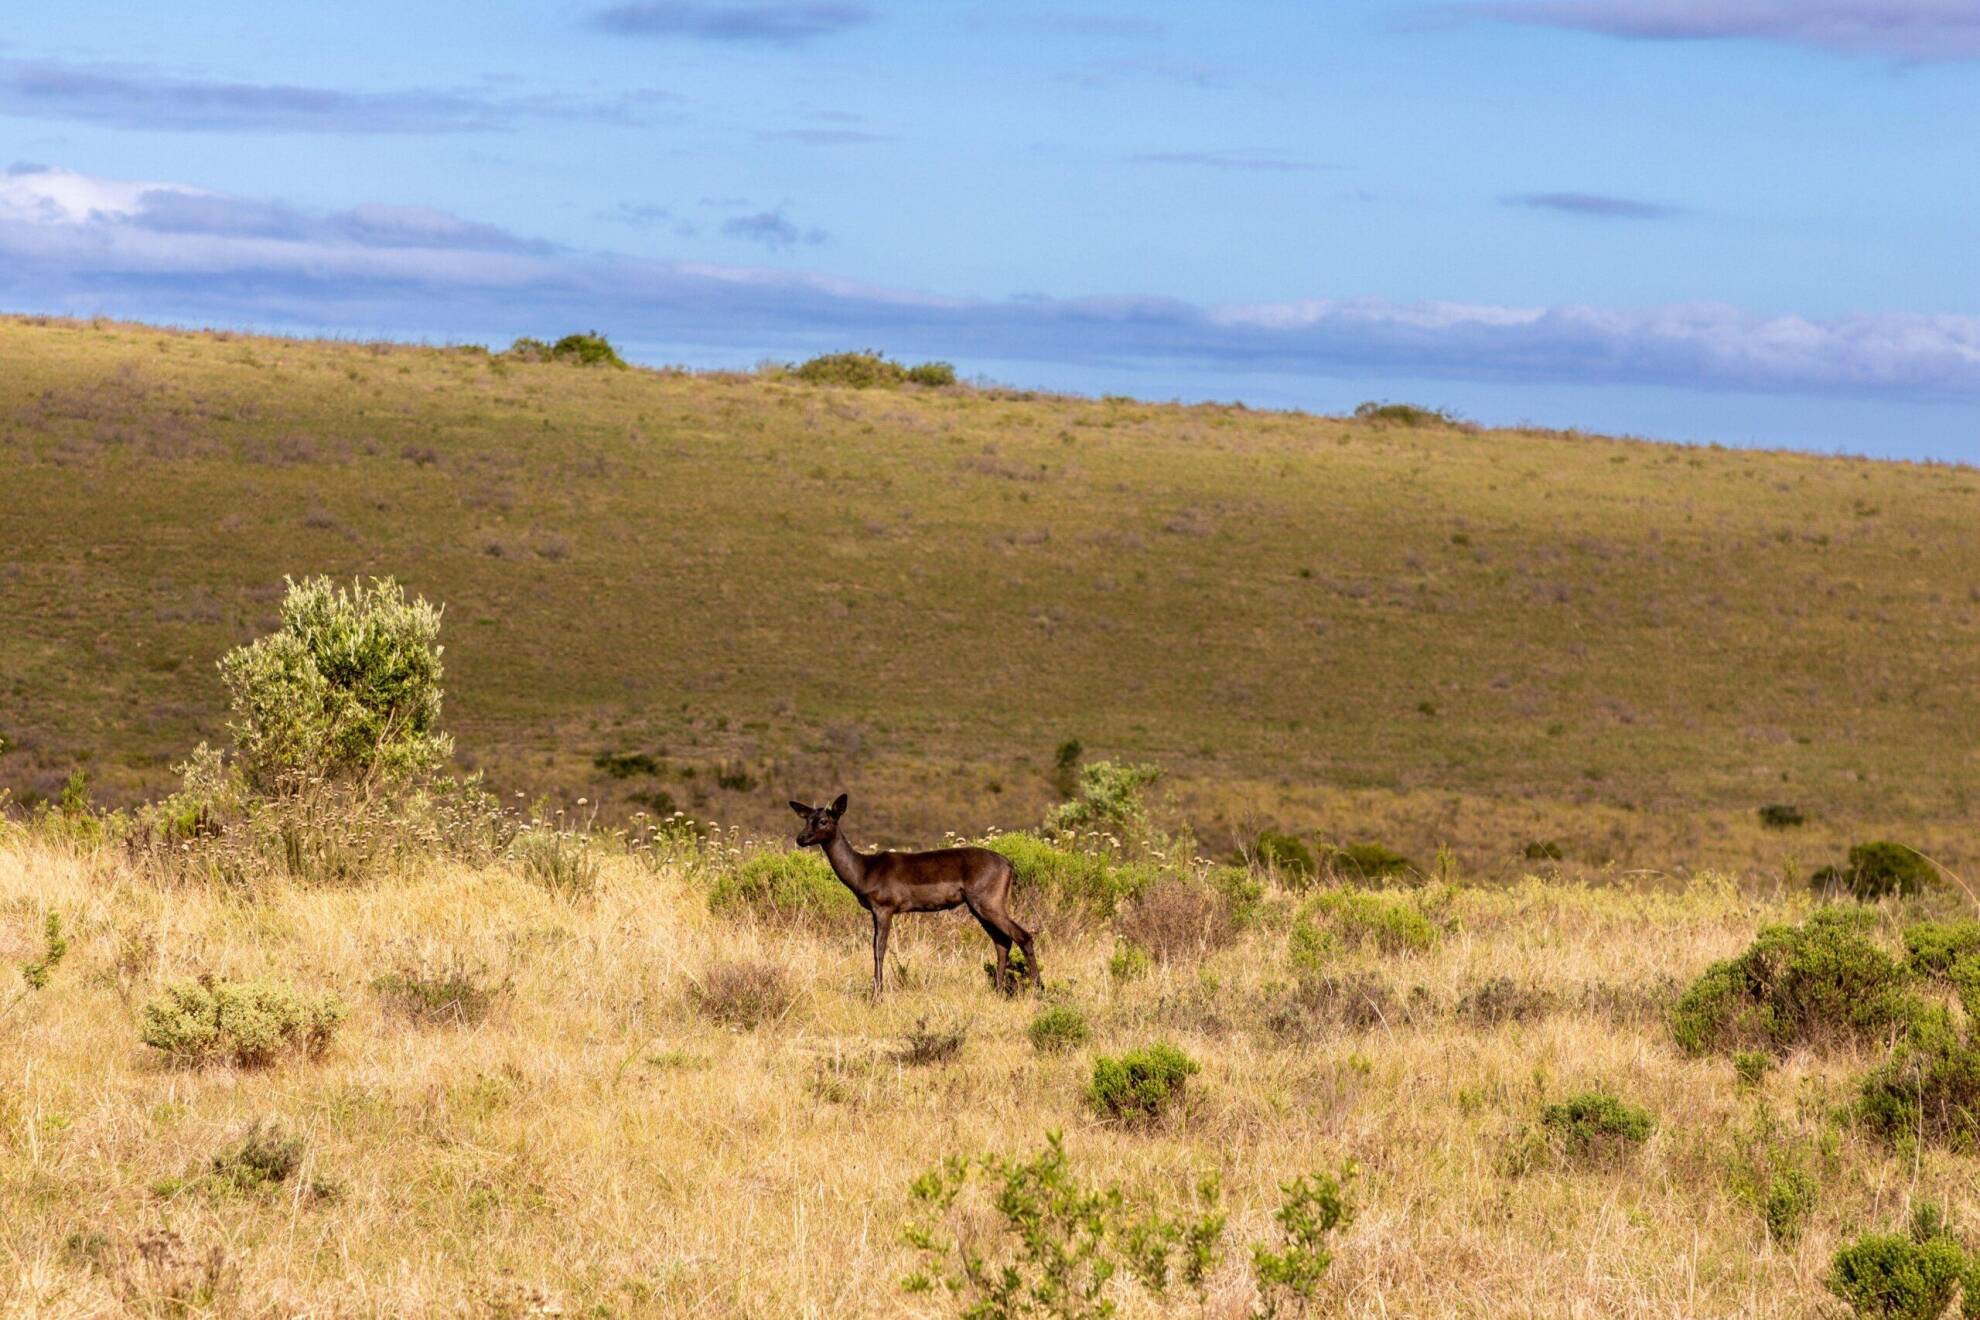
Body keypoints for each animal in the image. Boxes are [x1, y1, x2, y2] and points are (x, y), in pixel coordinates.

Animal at [789, 794, 1040, 998]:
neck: (863, 870)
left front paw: (877, 997)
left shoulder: (884, 908)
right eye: (806, 818)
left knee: (1023, 936)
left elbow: (879, 949)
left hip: (988, 903)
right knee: (1002, 941)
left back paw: (1039, 991)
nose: (801, 838)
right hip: (979, 908)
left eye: (824, 820)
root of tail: (1009, 864)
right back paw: (998, 991)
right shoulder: (874, 912)